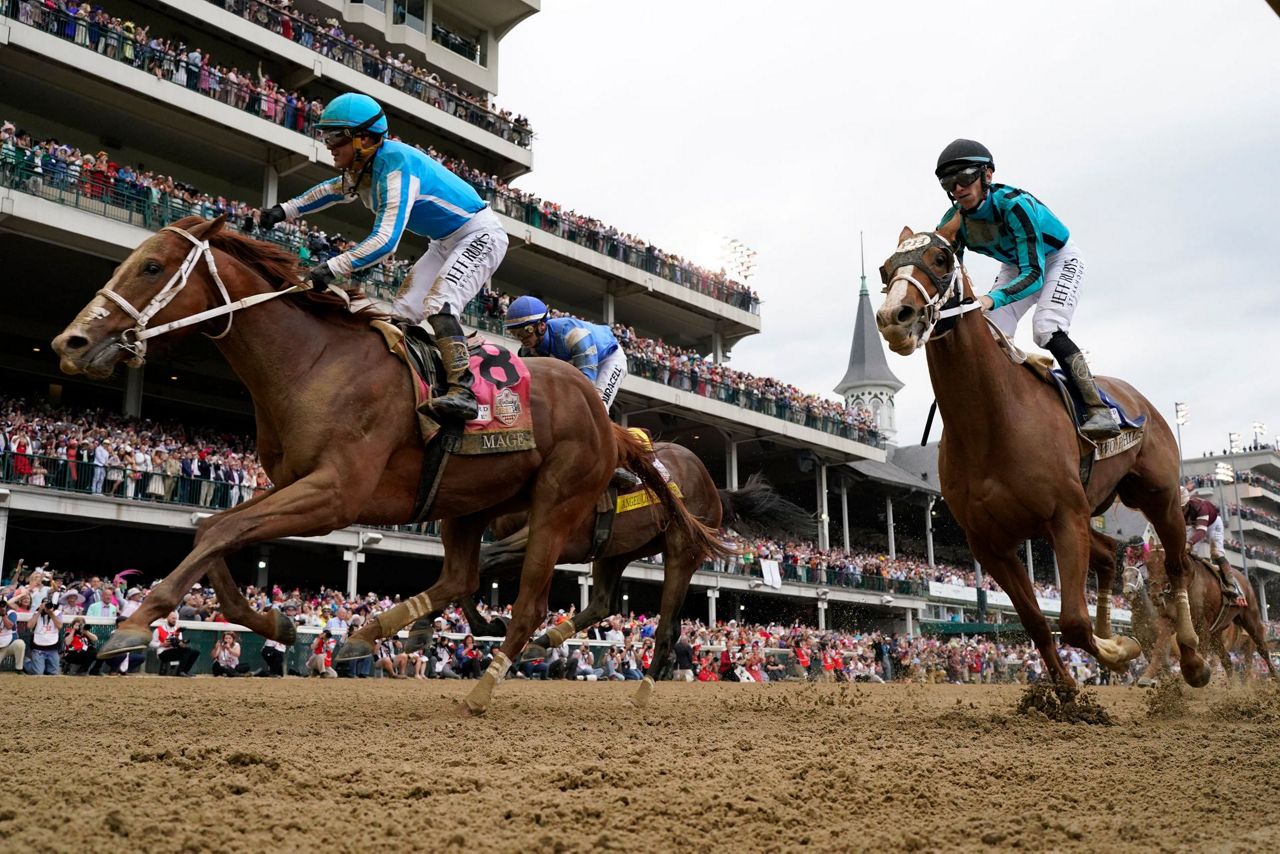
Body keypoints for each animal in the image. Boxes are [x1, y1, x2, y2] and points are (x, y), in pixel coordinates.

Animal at [52, 215, 721, 717]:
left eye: (152, 266)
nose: (70, 344)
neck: (314, 361)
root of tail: (607, 422)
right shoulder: (293, 482)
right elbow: (212, 530)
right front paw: (273, 622)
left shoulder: (336, 493)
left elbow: (222, 530)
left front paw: (136, 622)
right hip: (470, 504)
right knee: (470, 579)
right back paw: (366, 637)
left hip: (569, 508)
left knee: (567, 609)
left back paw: (494, 684)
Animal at [343, 440, 808, 706]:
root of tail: (715, 486)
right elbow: (470, 572)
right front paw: (432, 627)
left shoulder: (546, 535)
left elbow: (482, 565)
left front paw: (481, 623)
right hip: (616, 550)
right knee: (603, 603)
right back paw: (543, 642)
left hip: (682, 551)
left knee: (667, 628)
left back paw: (643, 692)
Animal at [875, 222, 1203, 686]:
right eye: (886, 269)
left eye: (940, 258)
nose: (894, 318)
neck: (990, 421)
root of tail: (1139, 401)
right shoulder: (991, 543)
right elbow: (1036, 622)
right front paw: (1070, 686)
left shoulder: (1064, 517)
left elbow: (1074, 622)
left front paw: (1117, 650)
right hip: (1089, 512)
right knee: (1108, 554)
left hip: (1159, 498)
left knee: (1178, 567)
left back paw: (1192, 657)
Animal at [1126, 550, 1274, 686]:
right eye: (1148, 565)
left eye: (1136, 575)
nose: (1155, 595)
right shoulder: (1167, 623)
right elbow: (1159, 649)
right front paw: (1147, 678)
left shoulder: (1202, 626)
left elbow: (1198, 652)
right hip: (1216, 634)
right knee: (1226, 660)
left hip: (1251, 621)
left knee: (1261, 652)